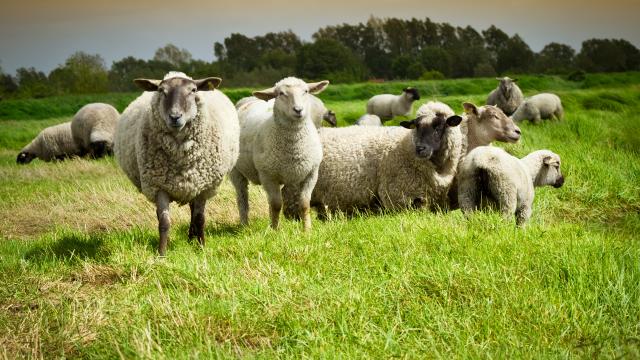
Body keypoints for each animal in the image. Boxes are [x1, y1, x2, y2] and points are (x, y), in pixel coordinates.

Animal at [112, 71, 240, 256]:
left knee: (194, 211)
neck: (180, 153)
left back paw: (192, 237)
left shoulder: (204, 186)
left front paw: (202, 247)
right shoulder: (158, 186)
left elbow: (200, 219)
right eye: (161, 91)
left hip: (194, 184)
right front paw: (162, 254)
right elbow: (164, 222)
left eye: (193, 90)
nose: (175, 117)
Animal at [229, 77, 328, 232]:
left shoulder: (311, 174)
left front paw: (307, 230)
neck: (294, 147)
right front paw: (275, 230)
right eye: (281, 94)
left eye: (306, 91)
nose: (298, 110)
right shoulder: (268, 175)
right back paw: (245, 225)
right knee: (242, 198)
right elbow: (276, 205)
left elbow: (304, 204)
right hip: (237, 171)